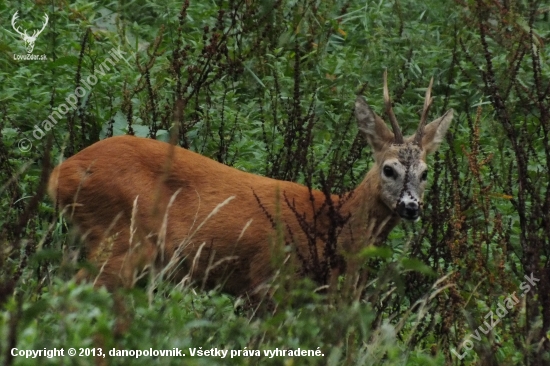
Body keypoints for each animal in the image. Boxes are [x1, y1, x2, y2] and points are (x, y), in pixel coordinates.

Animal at [47, 72, 454, 298]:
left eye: (425, 172)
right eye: (388, 169)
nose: (410, 207)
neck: (334, 223)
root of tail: (59, 174)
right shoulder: (270, 277)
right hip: (123, 236)